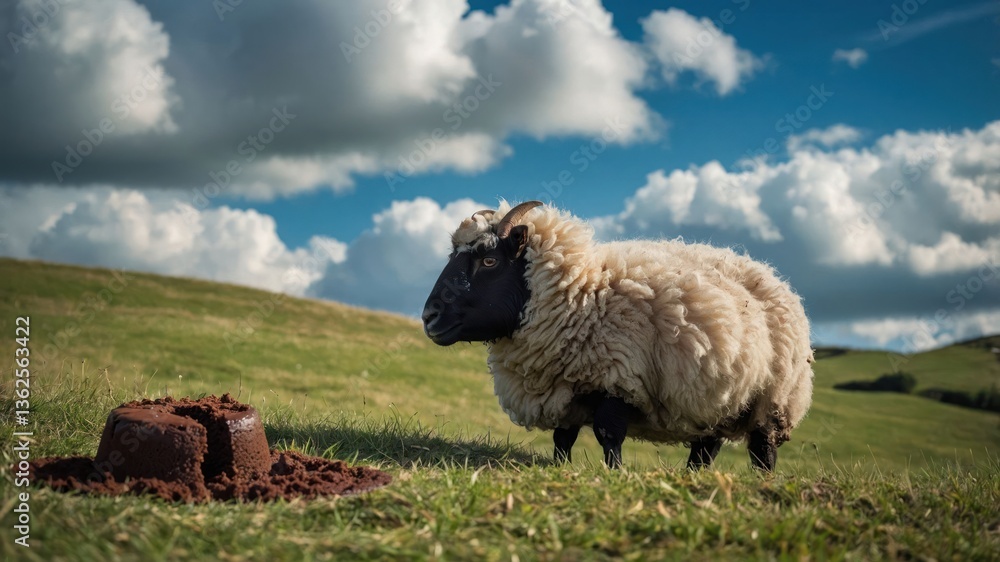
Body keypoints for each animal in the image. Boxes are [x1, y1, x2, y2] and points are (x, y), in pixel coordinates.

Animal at [421, 200, 814, 470]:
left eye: (489, 261)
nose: (429, 317)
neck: (583, 293)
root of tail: (772, 275)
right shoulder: (565, 387)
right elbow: (563, 437)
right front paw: (560, 469)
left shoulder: (619, 377)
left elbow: (608, 434)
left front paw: (616, 473)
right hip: (717, 399)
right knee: (706, 449)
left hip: (775, 396)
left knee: (763, 450)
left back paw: (762, 481)